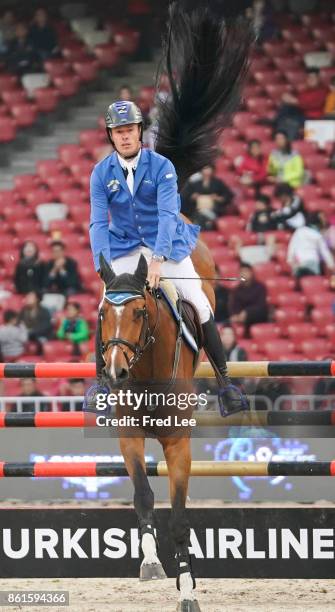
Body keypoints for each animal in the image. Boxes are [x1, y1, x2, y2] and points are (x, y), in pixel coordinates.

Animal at [97, 240, 215, 612]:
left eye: (139, 313)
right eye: (103, 315)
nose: (115, 372)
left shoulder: (178, 445)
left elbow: (178, 520)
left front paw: (188, 591)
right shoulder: (130, 437)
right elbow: (143, 496)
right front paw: (150, 561)